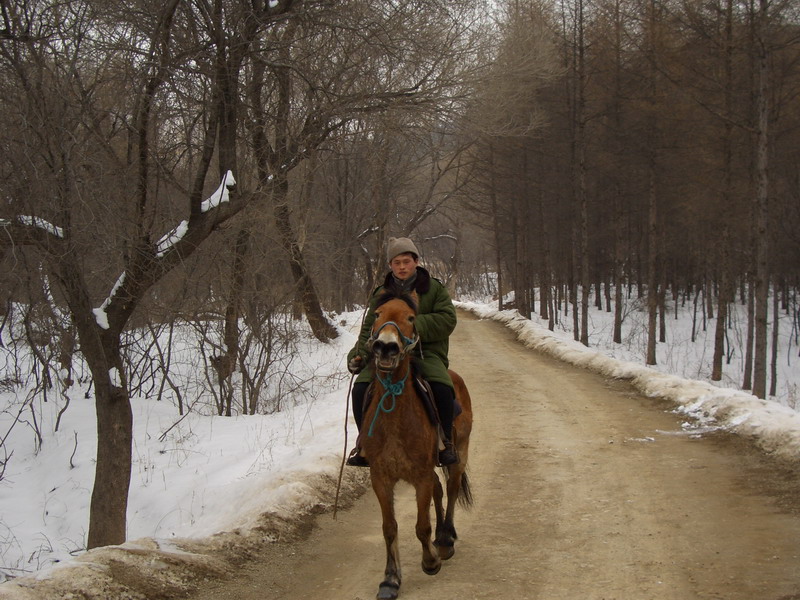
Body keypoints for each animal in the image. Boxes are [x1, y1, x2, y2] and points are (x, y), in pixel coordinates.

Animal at [360, 288, 472, 596]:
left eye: (411, 318)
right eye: (376, 314)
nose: (386, 347)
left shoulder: (420, 476)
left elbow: (421, 526)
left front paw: (430, 562)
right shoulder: (381, 478)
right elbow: (389, 528)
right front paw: (390, 579)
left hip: (460, 453)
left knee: (451, 487)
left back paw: (445, 539)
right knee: (439, 489)